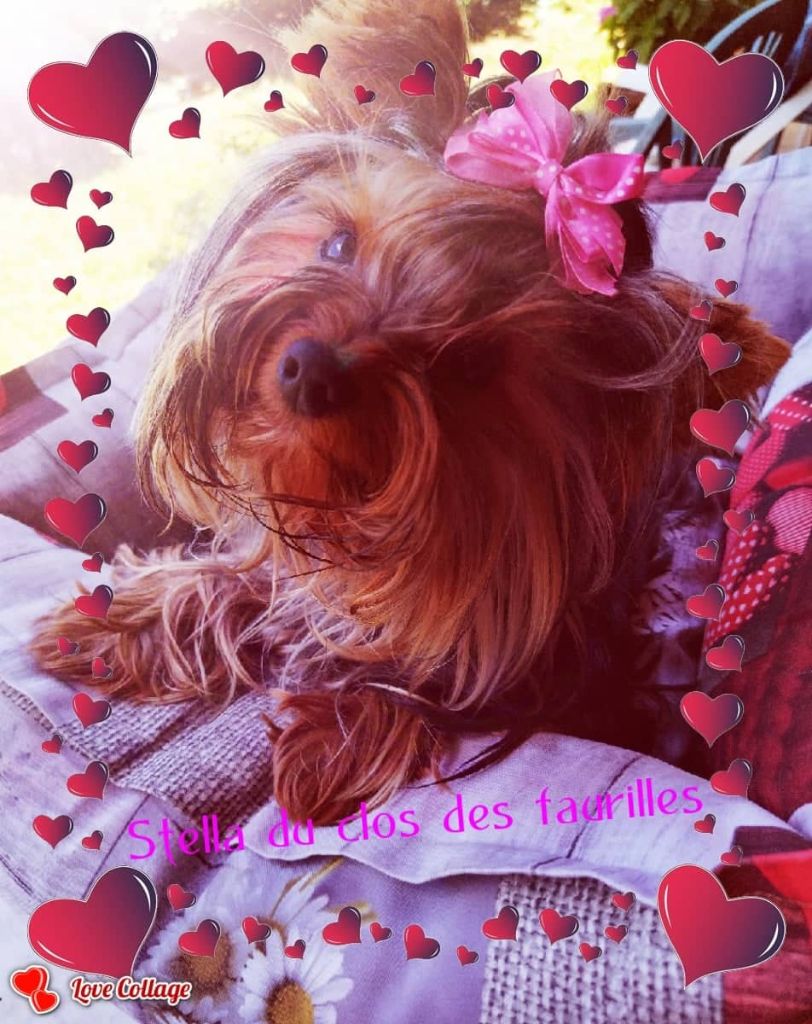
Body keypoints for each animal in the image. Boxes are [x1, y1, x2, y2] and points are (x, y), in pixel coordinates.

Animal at [32, 0, 788, 825]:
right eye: (337, 244)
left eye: (471, 366)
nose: (311, 369)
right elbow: (247, 579)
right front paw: (114, 619)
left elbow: (399, 666)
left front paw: (336, 738)